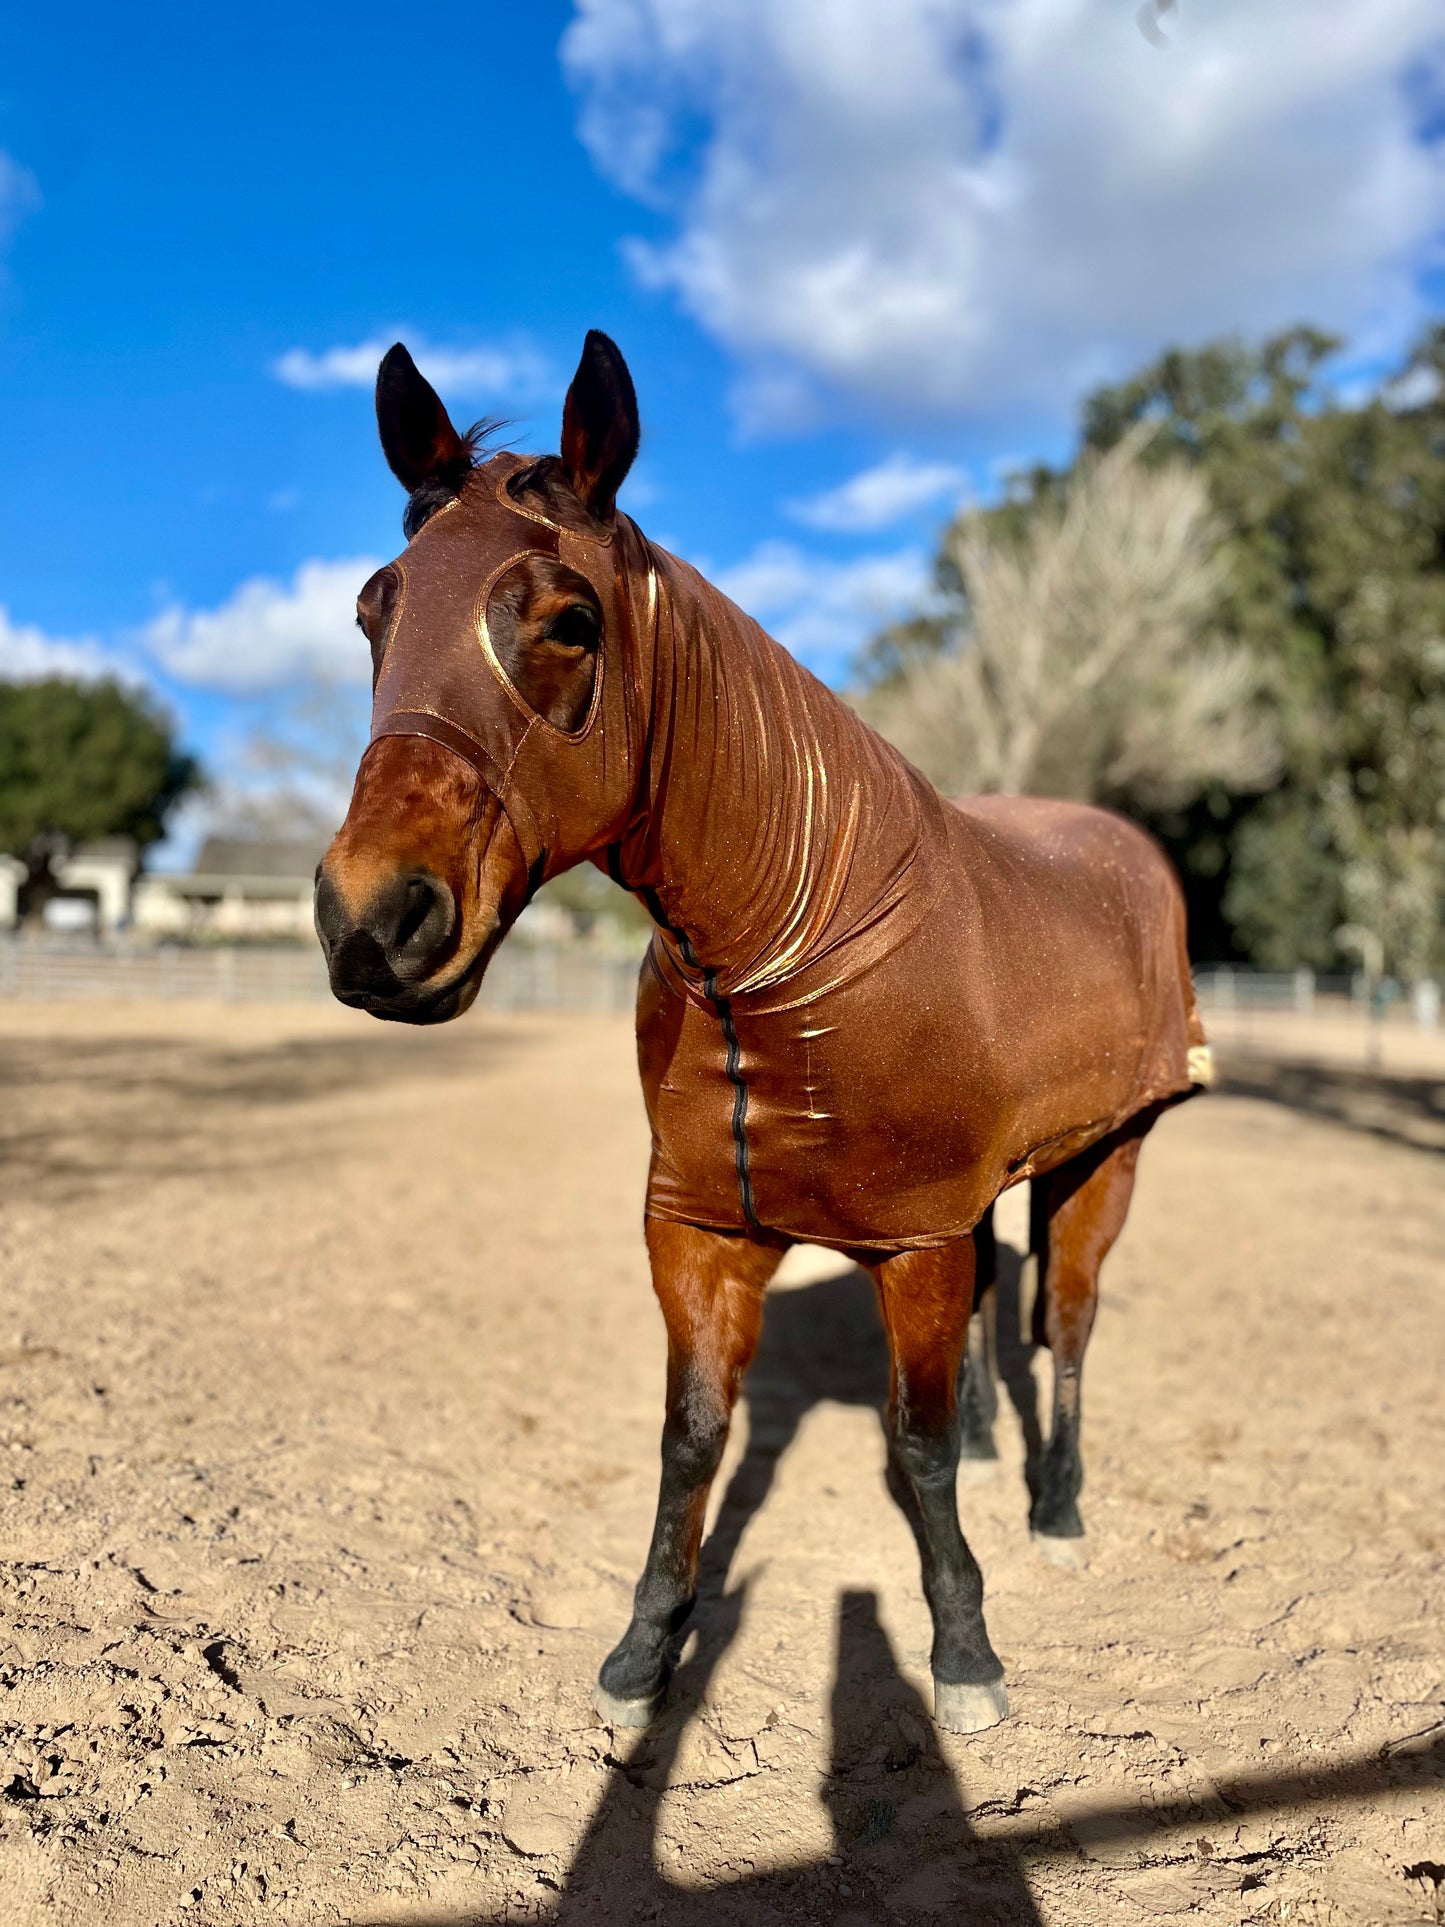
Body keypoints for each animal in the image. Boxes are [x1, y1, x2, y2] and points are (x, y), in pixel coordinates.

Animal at [315, 323, 1209, 1742]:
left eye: (569, 621)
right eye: (373, 610)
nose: (368, 921)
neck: (794, 949)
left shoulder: (910, 1235)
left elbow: (916, 1443)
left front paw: (963, 1649)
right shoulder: (703, 1229)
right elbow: (693, 1433)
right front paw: (644, 1647)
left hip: (1106, 1154)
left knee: (1066, 1325)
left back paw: (1057, 1507)